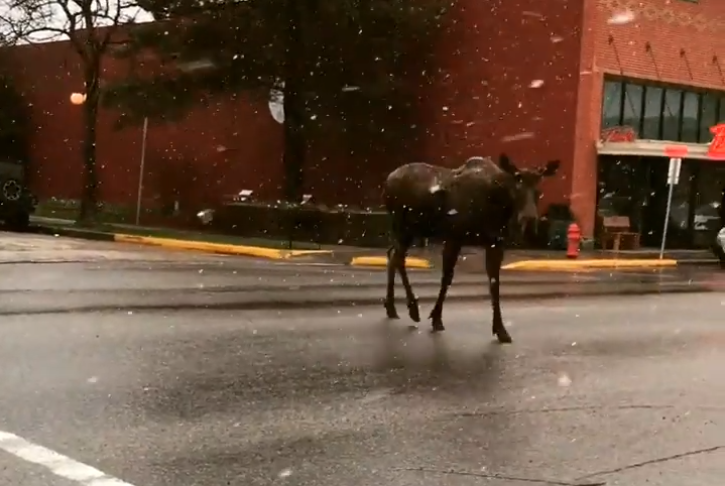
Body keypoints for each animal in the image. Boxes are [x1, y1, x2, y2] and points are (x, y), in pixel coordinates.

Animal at [384, 154, 560, 344]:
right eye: (516, 189)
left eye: (539, 192)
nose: (528, 223)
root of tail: (387, 181)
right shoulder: (455, 236)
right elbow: (447, 278)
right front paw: (436, 318)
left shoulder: (496, 242)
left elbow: (494, 283)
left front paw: (501, 330)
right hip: (403, 227)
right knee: (398, 258)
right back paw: (412, 309)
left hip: (406, 229)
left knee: (392, 255)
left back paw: (391, 307)